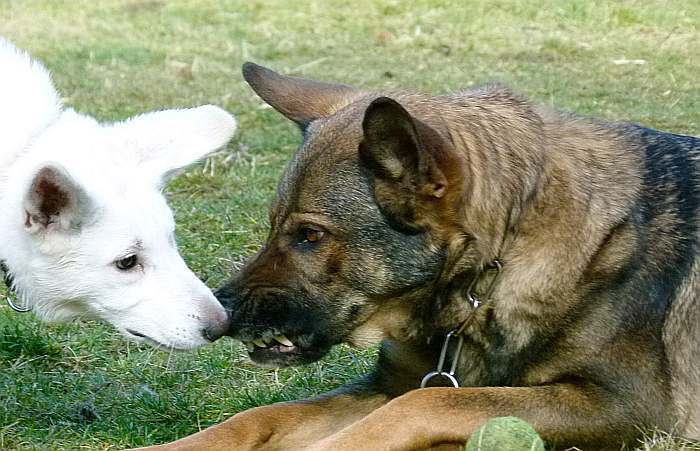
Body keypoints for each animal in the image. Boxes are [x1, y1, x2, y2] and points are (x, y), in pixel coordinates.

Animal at [149, 64, 700, 451]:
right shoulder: (388, 382)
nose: (221, 314)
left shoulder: (622, 407)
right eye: (273, 225)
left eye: (309, 235)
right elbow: (259, 417)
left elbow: (426, 401)